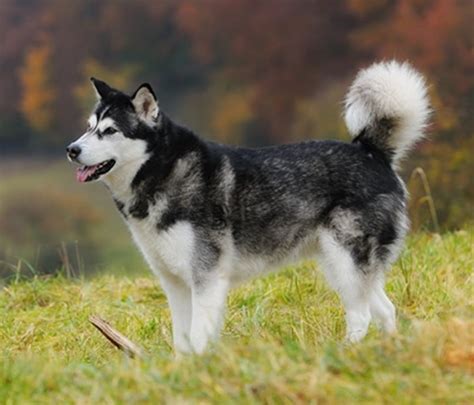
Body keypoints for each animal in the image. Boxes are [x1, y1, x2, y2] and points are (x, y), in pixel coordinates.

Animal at [67, 60, 434, 354]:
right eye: (88, 126)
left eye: (110, 131)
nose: (71, 149)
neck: (162, 170)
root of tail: (370, 151)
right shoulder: (174, 282)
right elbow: (181, 339)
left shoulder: (207, 277)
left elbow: (198, 336)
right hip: (343, 266)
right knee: (385, 310)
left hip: (346, 261)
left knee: (361, 315)